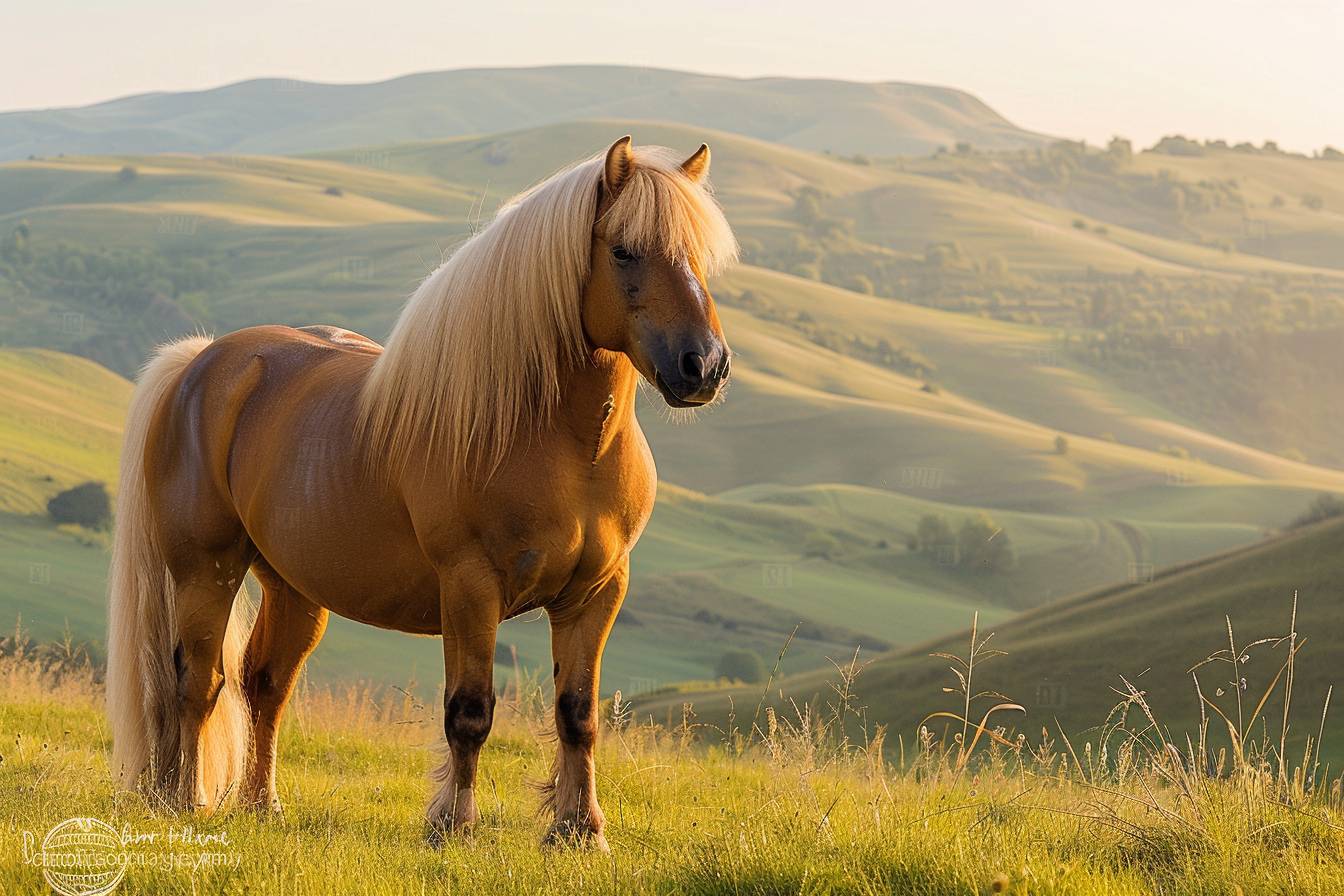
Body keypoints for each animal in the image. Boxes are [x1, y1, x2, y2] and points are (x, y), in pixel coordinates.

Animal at [103, 135, 736, 848]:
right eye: (625, 250)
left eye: (700, 256)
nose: (704, 366)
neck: (563, 443)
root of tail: (204, 360)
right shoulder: (470, 586)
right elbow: (469, 712)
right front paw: (454, 826)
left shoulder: (596, 593)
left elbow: (578, 713)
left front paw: (579, 831)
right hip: (204, 571)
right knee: (197, 683)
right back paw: (188, 801)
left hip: (292, 586)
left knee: (264, 684)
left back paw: (262, 806)